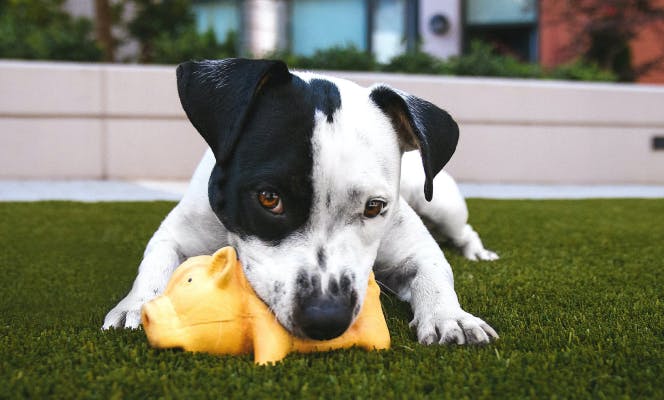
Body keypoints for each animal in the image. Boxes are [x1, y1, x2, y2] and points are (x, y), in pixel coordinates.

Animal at [102, 57, 498, 346]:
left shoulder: (414, 247)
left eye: (374, 207)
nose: (326, 318)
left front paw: (451, 316)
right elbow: (155, 263)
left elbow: (434, 271)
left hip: (440, 203)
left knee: (464, 230)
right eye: (268, 198)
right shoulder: (177, 233)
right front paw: (137, 304)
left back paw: (478, 253)